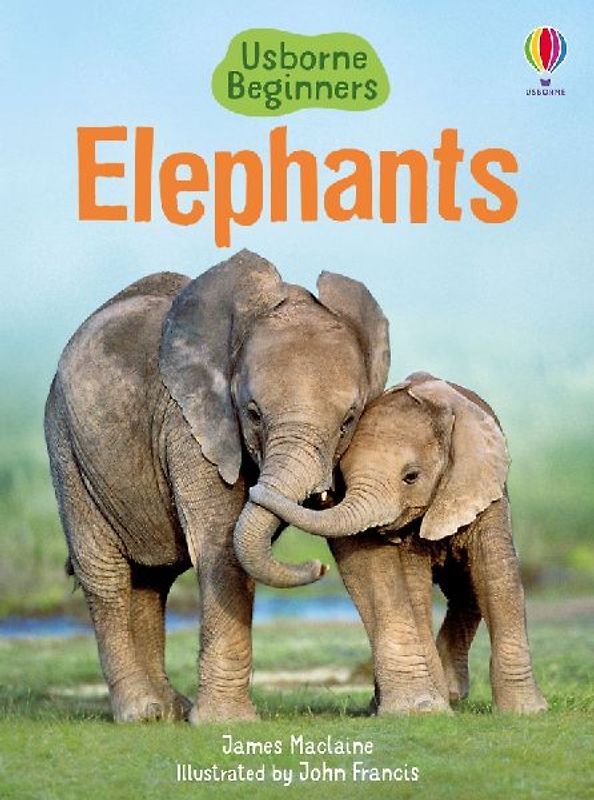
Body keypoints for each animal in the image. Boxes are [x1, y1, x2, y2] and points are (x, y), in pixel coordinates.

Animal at [44, 249, 390, 723]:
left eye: (348, 420)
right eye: (253, 413)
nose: (317, 568)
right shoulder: (190, 426)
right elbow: (221, 544)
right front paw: (226, 722)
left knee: (151, 580)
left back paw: (169, 710)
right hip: (66, 445)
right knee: (105, 573)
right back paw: (143, 713)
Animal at [250, 371, 548, 714]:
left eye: (411, 476)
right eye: (343, 477)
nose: (319, 567)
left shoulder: (484, 491)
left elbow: (496, 576)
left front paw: (528, 711)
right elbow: (413, 587)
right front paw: (430, 708)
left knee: (467, 588)